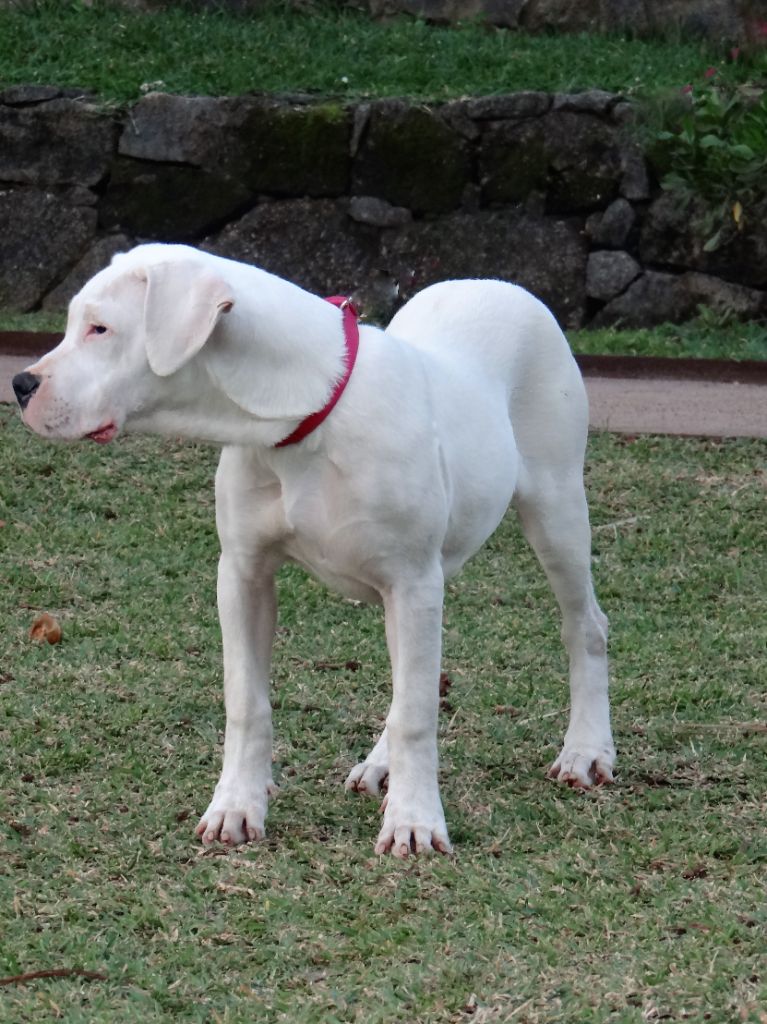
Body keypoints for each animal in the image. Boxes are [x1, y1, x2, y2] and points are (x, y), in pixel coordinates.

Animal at [11, 241, 614, 856]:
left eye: (100, 328)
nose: (20, 384)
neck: (302, 413)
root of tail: (494, 283)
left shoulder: (413, 582)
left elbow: (416, 714)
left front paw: (415, 821)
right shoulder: (244, 575)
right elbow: (247, 702)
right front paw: (236, 806)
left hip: (555, 511)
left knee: (582, 626)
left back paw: (585, 752)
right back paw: (381, 767)